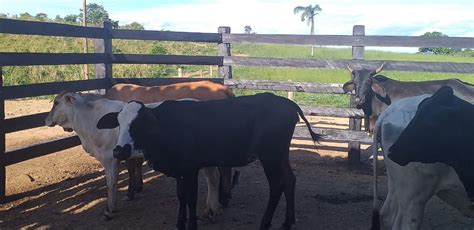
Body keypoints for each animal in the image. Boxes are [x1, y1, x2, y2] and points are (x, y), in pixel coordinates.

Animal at [45, 92, 220, 220]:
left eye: (56, 102)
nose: (46, 119)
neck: (91, 119)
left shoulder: (110, 157)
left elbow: (111, 183)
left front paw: (109, 210)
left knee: (212, 179)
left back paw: (210, 210)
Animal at [95, 93, 322, 230]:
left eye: (140, 123)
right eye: (119, 122)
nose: (120, 150)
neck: (167, 127)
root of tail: (286, 102)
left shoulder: (191, 168)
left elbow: (191, 198)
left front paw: (191, 225)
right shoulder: (180, 169)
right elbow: (181, 196)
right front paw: (180, 224)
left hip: (270, 155)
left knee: (277, 185)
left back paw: (265, 224)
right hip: (281, 154)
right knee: (290, 180)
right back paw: (287, 222)